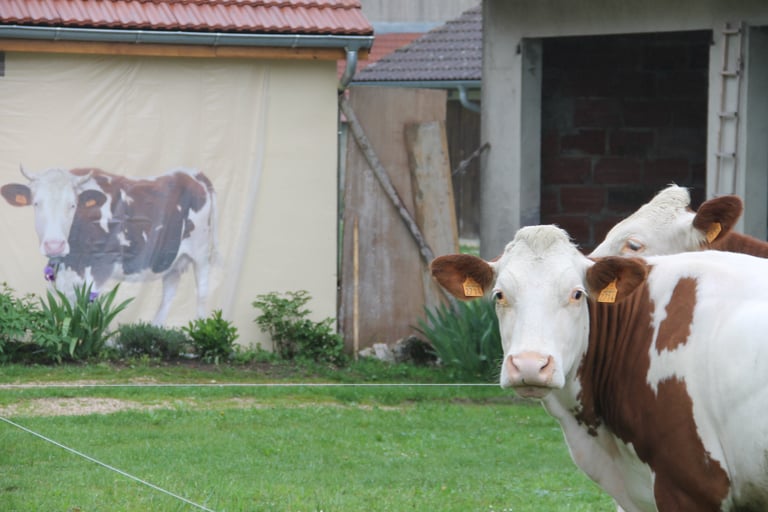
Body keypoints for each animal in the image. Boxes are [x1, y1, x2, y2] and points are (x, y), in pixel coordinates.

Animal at [1, 166, 216, 324]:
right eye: (36, 203)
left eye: (73, 204)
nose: (54, 245)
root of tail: (193, 173)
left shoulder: (99, 268)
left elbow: (87, 307)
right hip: (171, 259)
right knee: (169, 292)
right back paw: (156, 329)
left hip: (201, 252)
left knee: (202, 291)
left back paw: (199, 330)